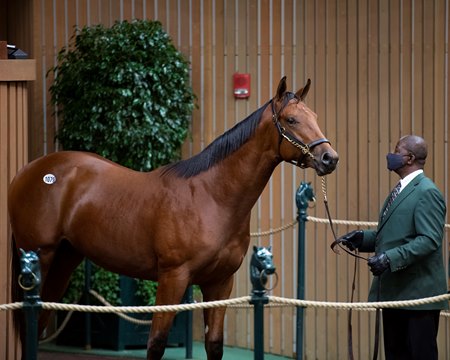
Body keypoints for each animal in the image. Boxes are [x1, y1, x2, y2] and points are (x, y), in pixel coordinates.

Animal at [9, 76, 338, 360]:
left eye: (315, 116)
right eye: (291, 120)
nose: (329, 158)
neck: (211, 197)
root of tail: (27, 171)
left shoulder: (220, 283)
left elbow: (214, 344)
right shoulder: (172, 278)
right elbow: (156, 342)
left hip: (64, 260)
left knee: (38, 322)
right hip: (41, 257)